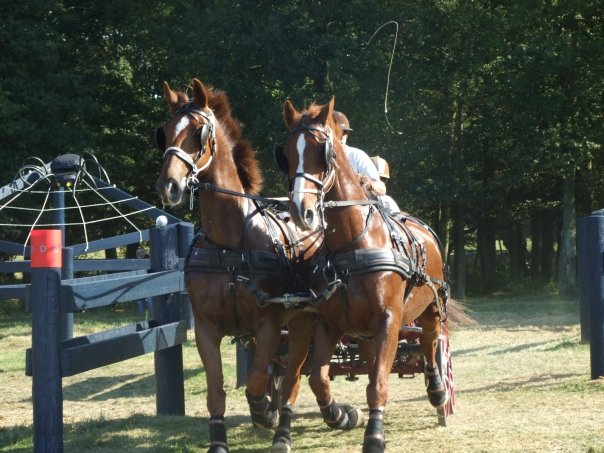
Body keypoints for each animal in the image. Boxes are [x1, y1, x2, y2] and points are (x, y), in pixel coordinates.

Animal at [155, 78, 324, 453]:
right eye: (165, 132)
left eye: (199, 132)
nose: (168, 186)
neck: (230, 243)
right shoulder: (206, 328)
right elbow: (216, 392)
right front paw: (218, 442)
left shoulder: (270, 322)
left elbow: (257, 380)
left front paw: (264, 412)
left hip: (303, 320)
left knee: (292, 379)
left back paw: (282, 431)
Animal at [273, 97, 452, 453]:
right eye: (285, 153)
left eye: (322, 151)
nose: (301, 210)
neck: (353, 244)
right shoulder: (330, 322)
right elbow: (319, 377)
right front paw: (340, 415)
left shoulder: (389, 320)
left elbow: (379, 383)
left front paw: (374, 437)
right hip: (364, 332)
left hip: (429, 306)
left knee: (429, 342)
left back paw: (438, 391)